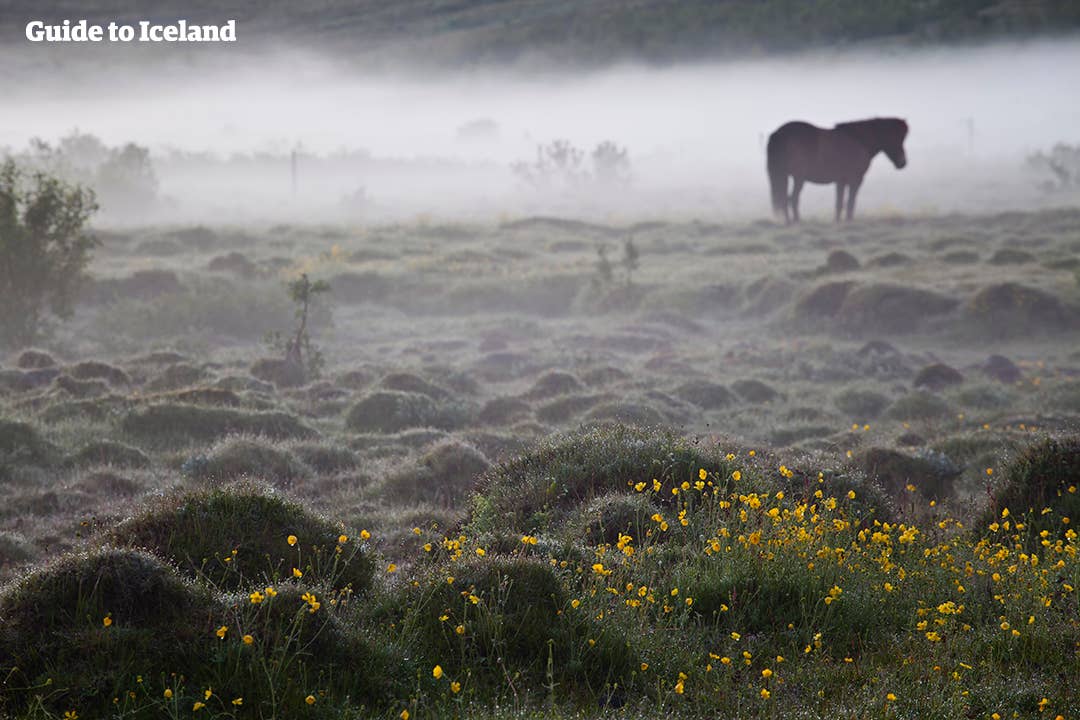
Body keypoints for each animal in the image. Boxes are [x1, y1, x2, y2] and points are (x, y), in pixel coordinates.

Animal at [766, 118, 908, 224]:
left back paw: (790, 221)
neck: (859, 141)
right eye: (895, 137)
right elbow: (850, 201)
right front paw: (849, 221)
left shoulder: (841, 180)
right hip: (798, 178)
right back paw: (795, 221)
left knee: (785, 198)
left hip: (785, 176)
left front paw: (838, 221)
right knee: (792, 198)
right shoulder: (856, 179)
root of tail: (778, 133)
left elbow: (839, 203)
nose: (902, 163)